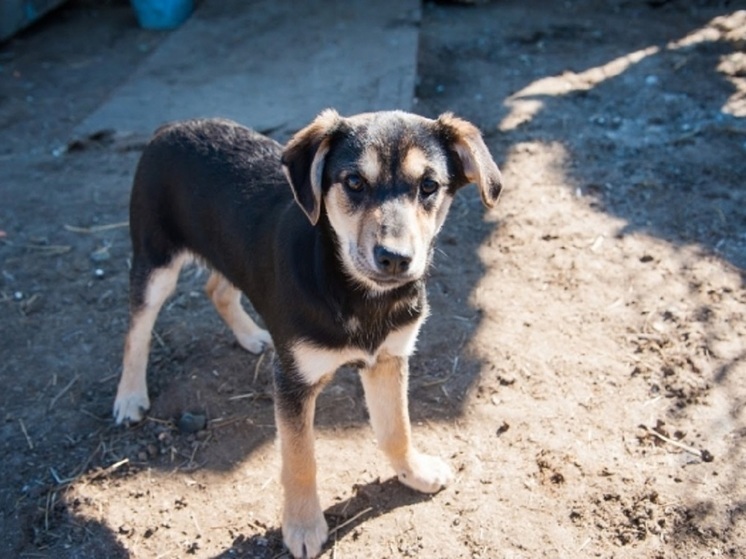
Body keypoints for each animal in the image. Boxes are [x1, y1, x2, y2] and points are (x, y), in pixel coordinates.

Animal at [112, 108, 500, 556]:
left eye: (429, 186)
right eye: (354, 182)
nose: (395, 259)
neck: (356, 294)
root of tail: (172, 126)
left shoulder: (388, 359)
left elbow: (396, 428)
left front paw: (414, 471)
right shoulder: (293, 382)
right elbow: (300, 461)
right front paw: (302, 527)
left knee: (217, 288)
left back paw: (252, 335)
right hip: (154, 259)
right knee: (136, 330)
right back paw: (130, 397)